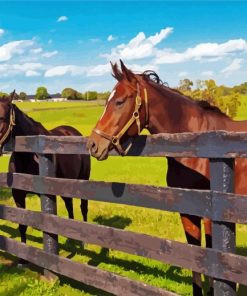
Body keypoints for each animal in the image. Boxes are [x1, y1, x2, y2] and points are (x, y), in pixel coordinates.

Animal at [0, 94, 90, 264]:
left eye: (2, 117)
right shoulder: (18, 194)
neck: (29, 155)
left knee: (83, 207)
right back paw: (71, 239)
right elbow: (22, 224)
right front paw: (22, 259)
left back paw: (83, 241)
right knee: (69, 205)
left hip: (83, 180)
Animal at [88, 60, 247, 296]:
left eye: (119, 101)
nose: (93, 144)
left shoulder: (210, 215)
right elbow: (194, 255)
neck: (194, 146)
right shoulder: (187, 210)